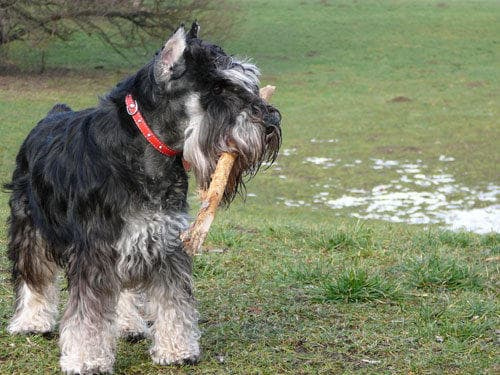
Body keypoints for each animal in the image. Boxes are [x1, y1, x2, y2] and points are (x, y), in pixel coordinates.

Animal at [4, 22, 282, 374]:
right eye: (218, 88)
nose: (272, 122)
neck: (149, 151)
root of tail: (52, 115)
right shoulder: (94, 250)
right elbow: (87, 312)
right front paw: (86, 358)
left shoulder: (164, 241)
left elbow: (173, 302)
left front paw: (177, 349)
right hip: (30, 225)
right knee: (33, 275)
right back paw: (31, 321)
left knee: (123, 290)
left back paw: (127, 324)